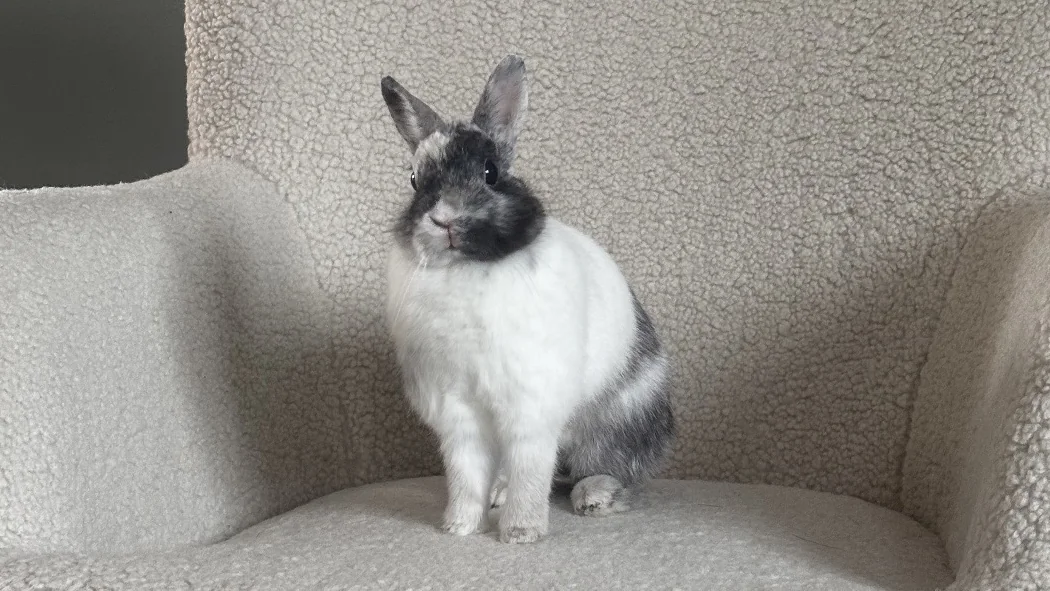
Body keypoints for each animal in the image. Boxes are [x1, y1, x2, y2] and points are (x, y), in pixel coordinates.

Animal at [380, 55, 674, 544]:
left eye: (491, 173)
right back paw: (497, 496)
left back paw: (593, 496)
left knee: (607, 468)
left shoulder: (530, 407)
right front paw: (459, 526)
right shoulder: (459, 413)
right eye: (415, 180)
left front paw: (521, 532)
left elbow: (531, 471)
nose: (445, 219)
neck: (466, 269)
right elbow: (464, 473)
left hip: (616, 422)